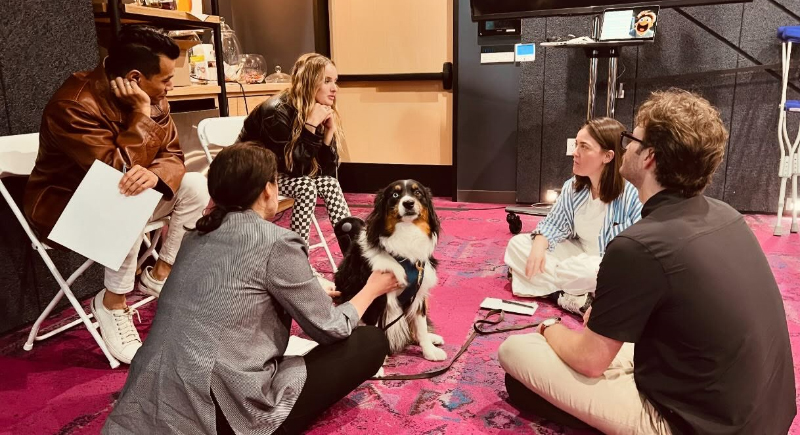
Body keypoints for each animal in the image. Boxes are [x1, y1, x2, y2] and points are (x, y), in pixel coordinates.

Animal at [334, 180, 446, 361]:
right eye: (395, 194)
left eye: (418, 193)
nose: (408, 203)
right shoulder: (375, 297)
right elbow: (374, 332)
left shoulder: (418, 291)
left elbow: (421, 326)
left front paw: (429, 351)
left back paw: (432, 338)